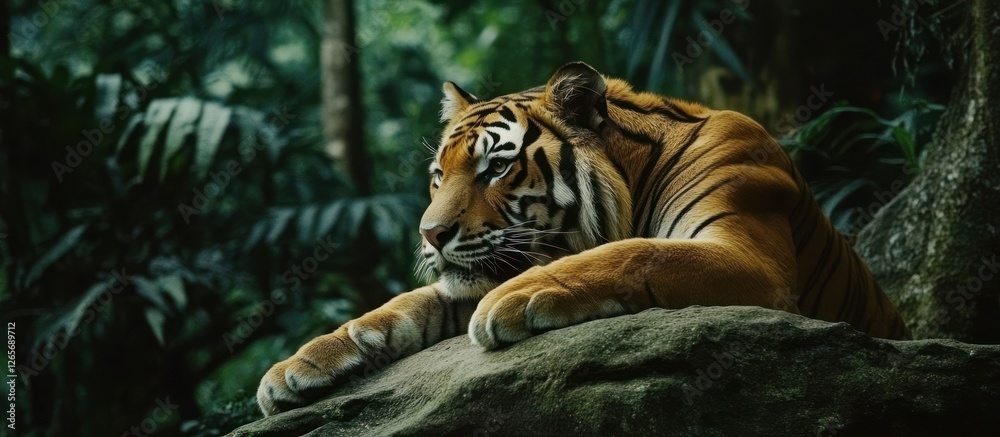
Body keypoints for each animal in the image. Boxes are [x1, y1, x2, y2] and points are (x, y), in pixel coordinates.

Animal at [256, 62, 909, 416]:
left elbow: (635, 251)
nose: (430, 234)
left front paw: (511, 300)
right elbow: (397, 307)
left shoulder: (750, 259)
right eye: (439, 175)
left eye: (496, 168)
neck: (636, 173)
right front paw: (296, 368)